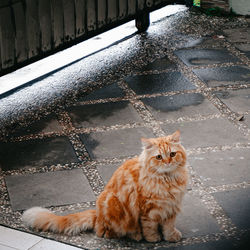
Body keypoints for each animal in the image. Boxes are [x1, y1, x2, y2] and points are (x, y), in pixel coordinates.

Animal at [22, 131, 188, 242]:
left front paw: (170, 236)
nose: (167, 162)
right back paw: (135, 235)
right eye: (159, 157)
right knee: (106, 233)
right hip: (113, 203)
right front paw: (153, 238)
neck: (167, 180)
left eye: (172, 154)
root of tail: (97, 215)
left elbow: (168, 226)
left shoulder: (172, 206)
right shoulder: (148, 210)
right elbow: (150, 227)